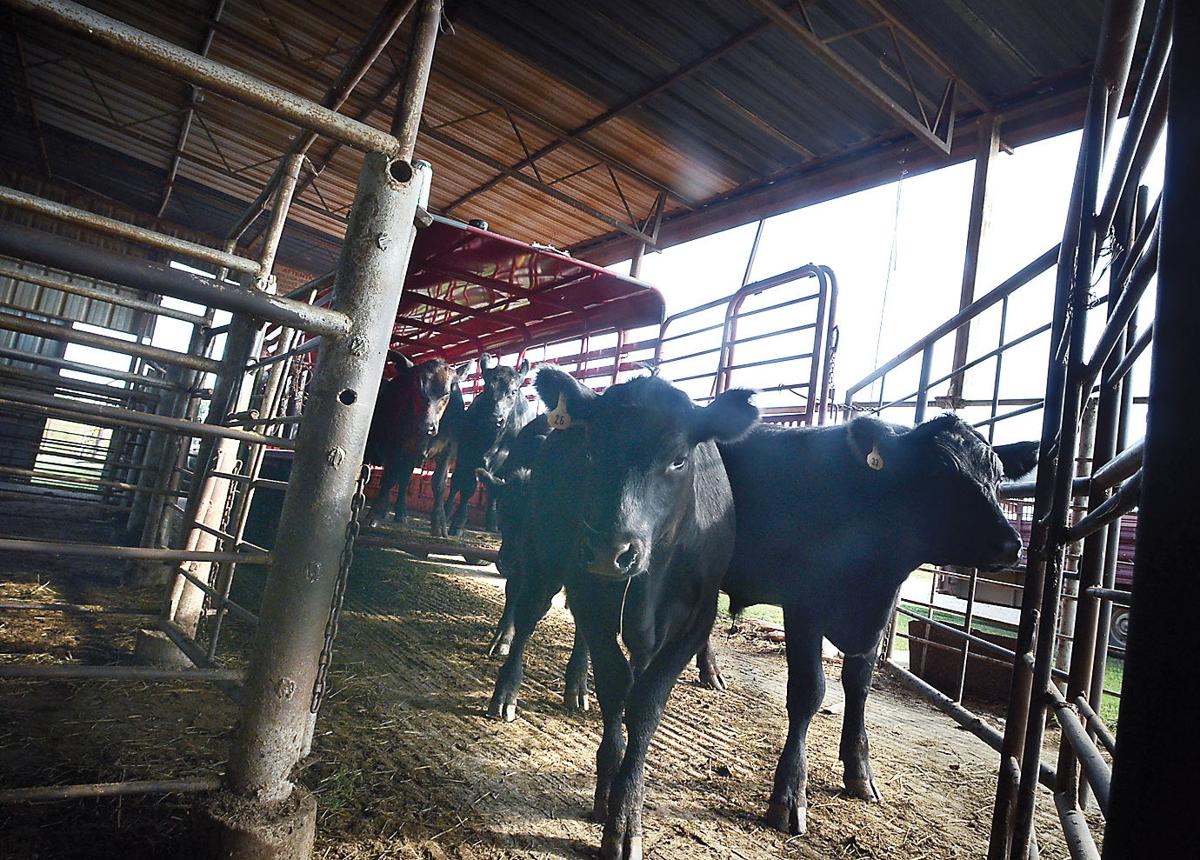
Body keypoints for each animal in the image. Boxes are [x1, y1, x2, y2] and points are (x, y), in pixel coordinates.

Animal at [363, 353, 470, 534]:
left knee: (404, 479)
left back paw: (400, 513)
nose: (426, 426)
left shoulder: (449, 450)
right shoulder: (396, 446)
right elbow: (389, 479)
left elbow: (439, 484)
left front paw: (439, 523)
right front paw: (374, 514)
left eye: (446, 393)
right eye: (416, 387)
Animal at [444, 354, 533, 536]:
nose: (495, 419)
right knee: (457, 482)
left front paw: (458, 523)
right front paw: (456, 521)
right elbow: (465, 485)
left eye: (513, 392)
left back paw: (492, 523)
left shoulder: (500, 457)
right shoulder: (466, 453)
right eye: (487, 388)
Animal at [487, 368, 758, 860]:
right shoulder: (590, 590)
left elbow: (646, 704)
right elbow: (617, 688)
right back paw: (507, 691)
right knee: (531, 610)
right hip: (543, 553)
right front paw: (609, 793)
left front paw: (627, 808)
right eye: (591, 451)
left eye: (679, 460)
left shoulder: (696, 619)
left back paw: (576, 686)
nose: (610, 551)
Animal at [717, 414, 1038, 836]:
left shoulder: (879, 614)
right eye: (938, 471)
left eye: (998, 476)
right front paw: (789, 794)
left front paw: (859, 773)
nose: (1010, 543)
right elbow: (809, 692)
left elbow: (859, 686)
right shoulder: (804, 604)